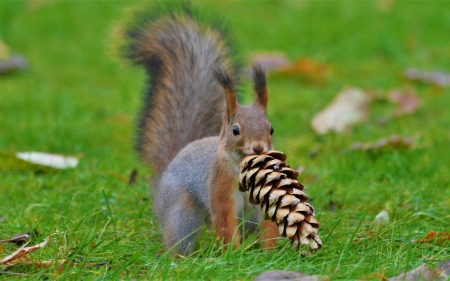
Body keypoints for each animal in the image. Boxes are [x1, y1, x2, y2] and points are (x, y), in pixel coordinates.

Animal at [122, 4, 278, 254]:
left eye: (271, 129)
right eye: (235, 130)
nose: (258, 147)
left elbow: (269, 222)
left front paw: (271, 253)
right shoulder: (219, 188)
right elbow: (224, 221)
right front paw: (233, 255)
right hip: (182, 212)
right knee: (178, 237)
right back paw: (183, 257)